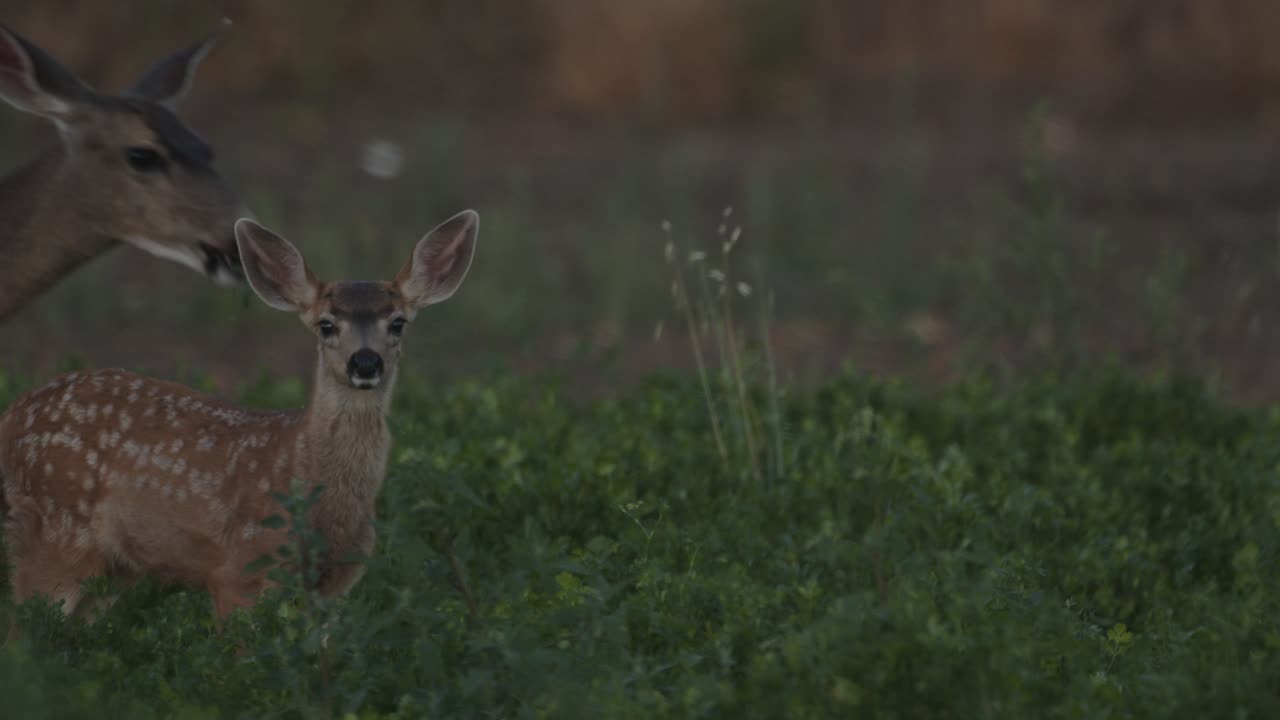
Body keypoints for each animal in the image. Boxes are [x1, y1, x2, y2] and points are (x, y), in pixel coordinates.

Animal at [0, 209, 478, 626]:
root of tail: (12, 414)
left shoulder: (335, 584)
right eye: (326, 324)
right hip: (54, 533)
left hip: (113, 567)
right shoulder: (241, 567)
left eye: (397, 323)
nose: (365, 362)